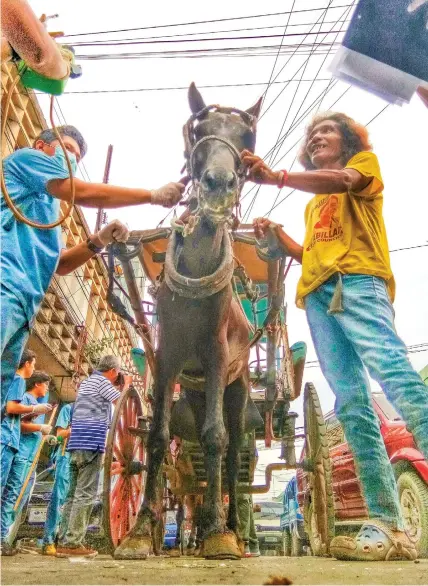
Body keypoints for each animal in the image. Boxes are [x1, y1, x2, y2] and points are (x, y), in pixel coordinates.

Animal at [112, 81, 262, 556]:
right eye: (199, 131)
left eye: (247, 138)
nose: (218, 185)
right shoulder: (168, 357)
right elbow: (157, 437)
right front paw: (141, 529)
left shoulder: (216, 357)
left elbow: (216, 438)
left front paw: (216, 532)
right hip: (194, 392)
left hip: (238, 388)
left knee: (231, 451)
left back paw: (231, 527)